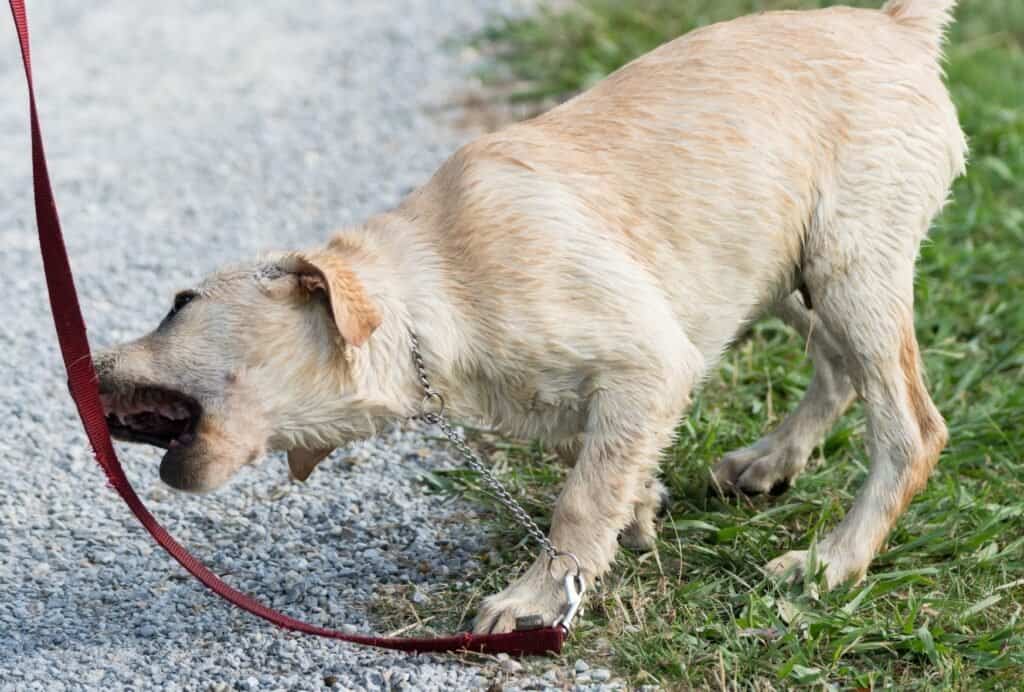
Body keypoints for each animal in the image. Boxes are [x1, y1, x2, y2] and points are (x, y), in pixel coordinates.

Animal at [92, 0, 962, 634]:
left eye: (179, 303)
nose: (85, 368)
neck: (433, 296)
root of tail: (897, 25)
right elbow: (602, 467)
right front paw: (639, 511)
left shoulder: (651, 360)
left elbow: (580, 498)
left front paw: (539, 598)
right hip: (782, 271)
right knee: (838, 370)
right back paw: (770, 461)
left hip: (852, 266)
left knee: (911, 429)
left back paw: (828, 563)